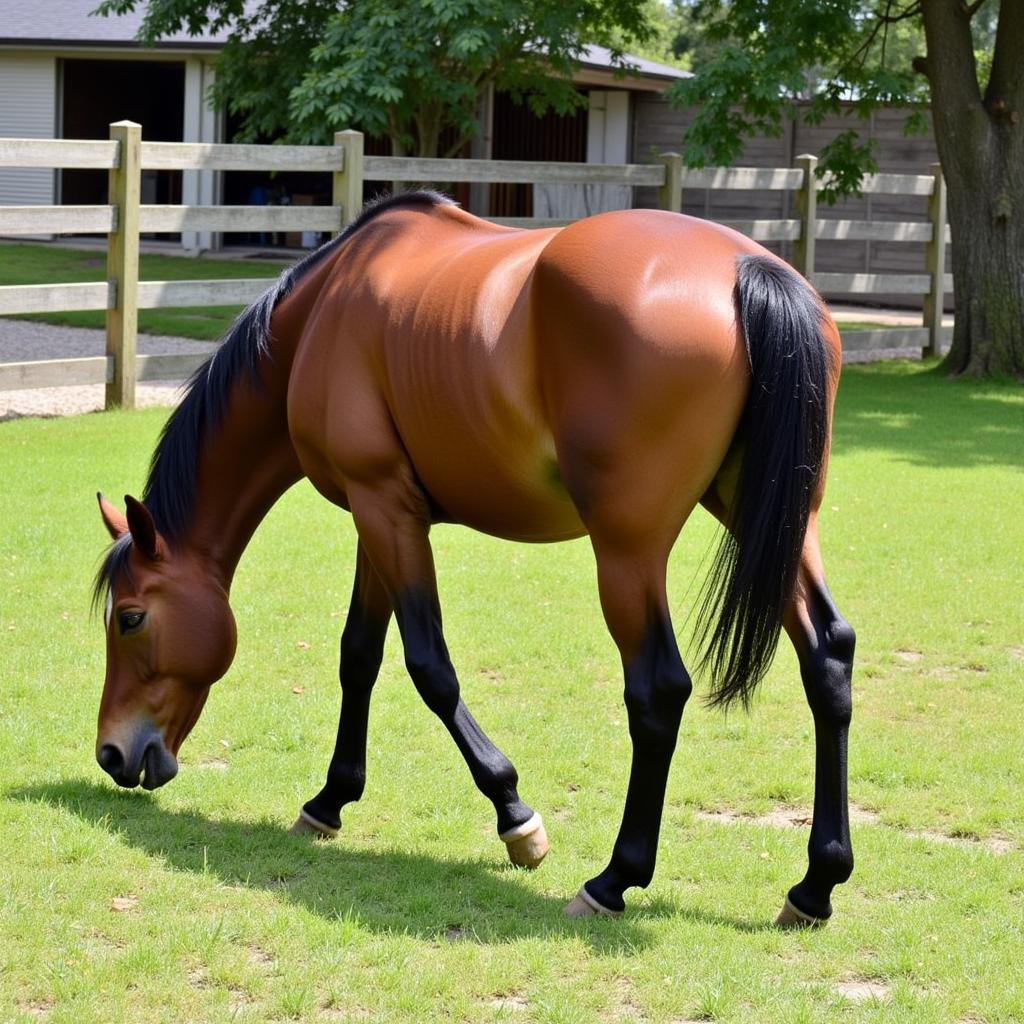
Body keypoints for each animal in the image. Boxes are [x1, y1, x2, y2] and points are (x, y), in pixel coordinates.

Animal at [94, 188, 856, 925]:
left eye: (130, 618)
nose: (112, 752)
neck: (322, 315)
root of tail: (743, 271)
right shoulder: (379, 515)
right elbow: (358, 657)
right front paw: (328, 802)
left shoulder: (384, 507)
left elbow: (429, 667)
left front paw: (516, 817)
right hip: (775, 524)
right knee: (828, 657)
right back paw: (816, 885)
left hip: (628, 552)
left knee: (658, 690)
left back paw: (614, 880)